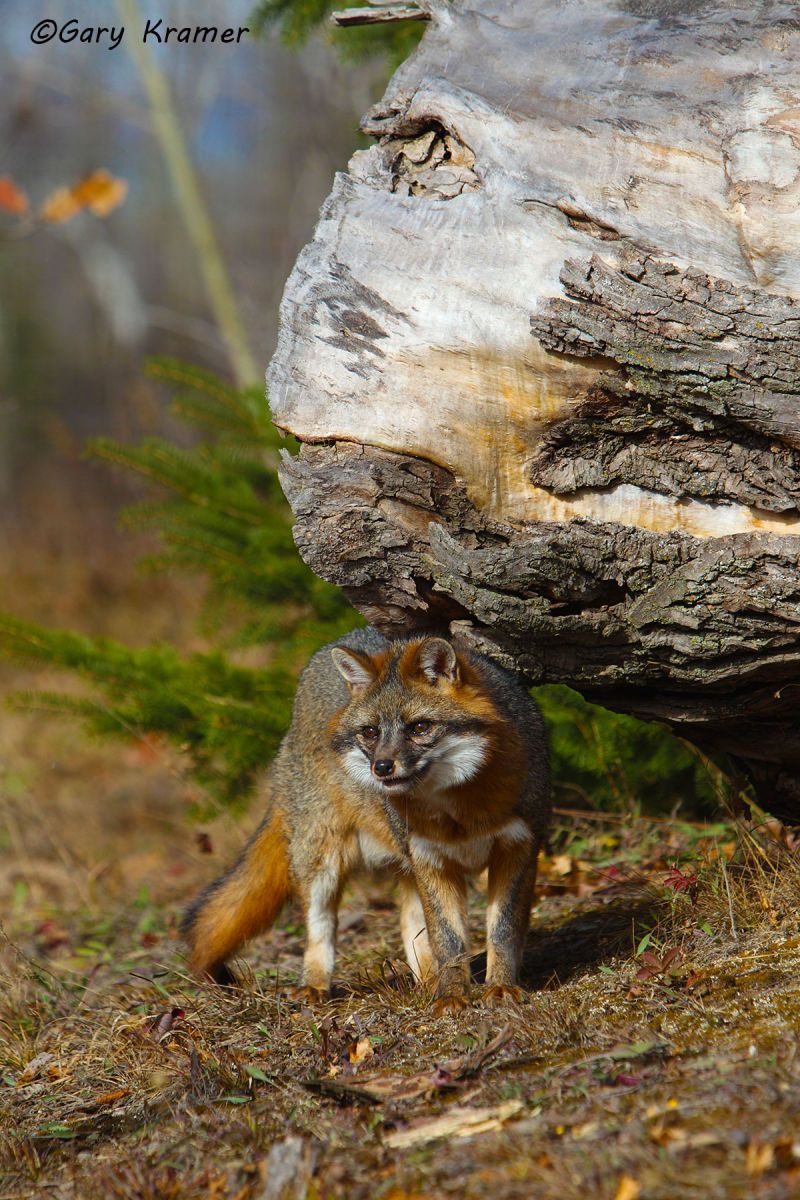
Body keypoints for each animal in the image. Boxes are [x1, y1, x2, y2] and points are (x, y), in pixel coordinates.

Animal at [182, 627, 550, 1008]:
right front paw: (451, 997)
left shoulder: (517, 848)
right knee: (321, 930)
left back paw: (427, 986)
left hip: (404, 867)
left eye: (420, 727)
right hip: (323, 864)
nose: (382, 767)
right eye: (371, 732)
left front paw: (500, 987)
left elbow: (502, 931)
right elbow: (448, 941)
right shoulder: (431, 860)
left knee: (408, 926)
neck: (459, 812)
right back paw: (315, 984)